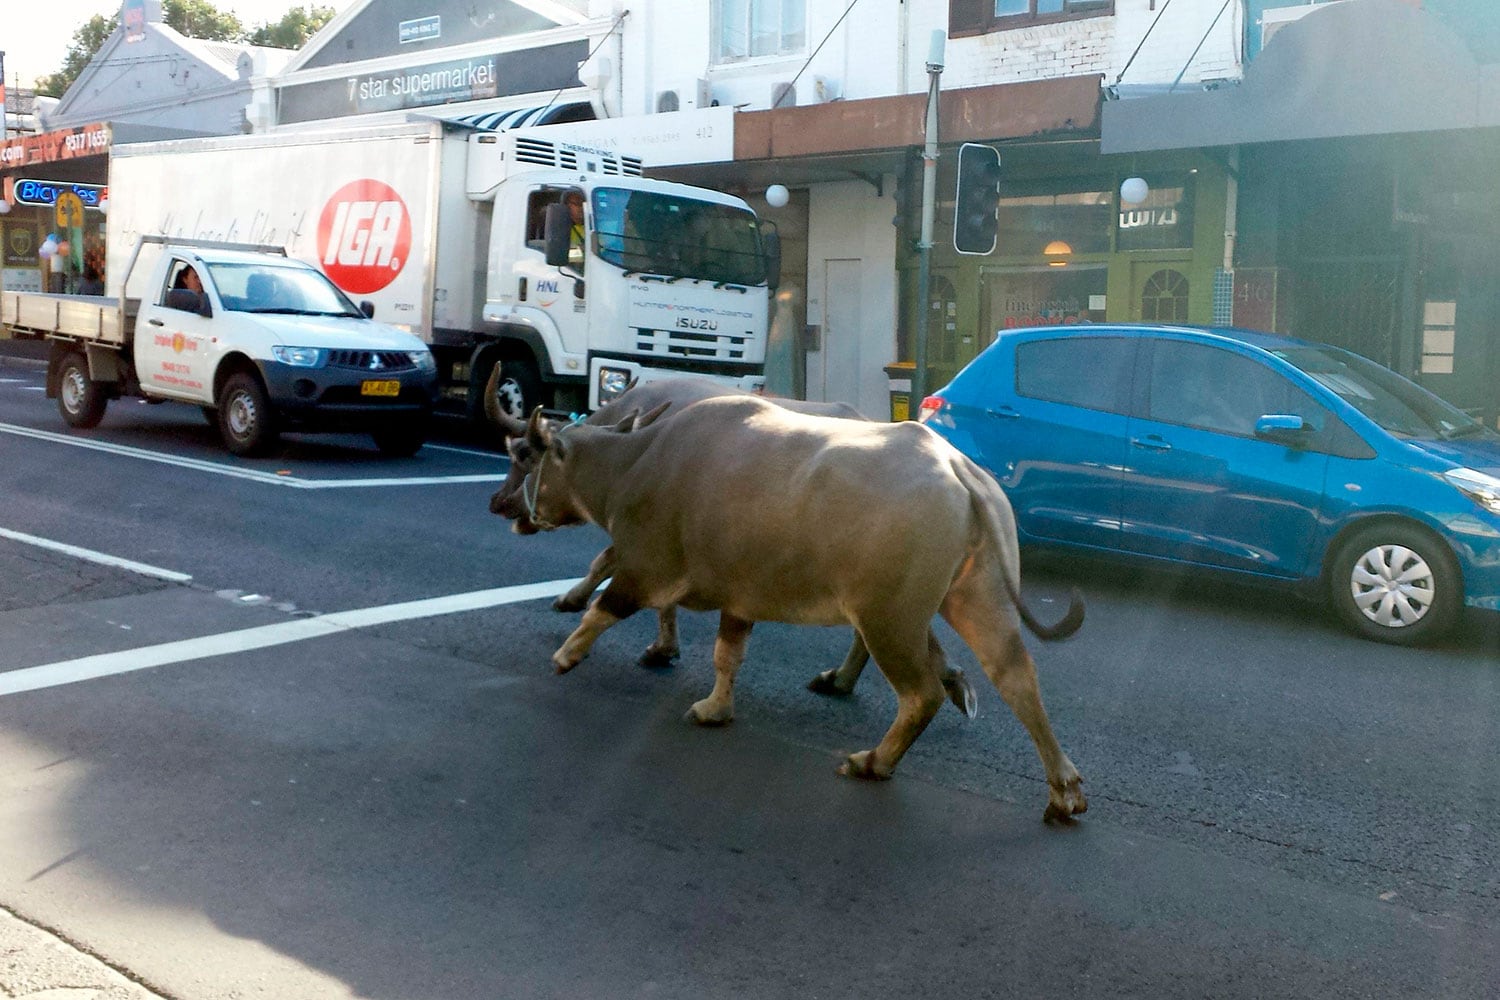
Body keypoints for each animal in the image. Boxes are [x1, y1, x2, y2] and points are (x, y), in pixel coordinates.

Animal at [492, 371, 978, 716]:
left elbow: (607, 562)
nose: (500, 503)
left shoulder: (655, 534)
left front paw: (573, 603)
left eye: (523, 454)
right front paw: (663, 647)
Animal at [510, 395, 1086, 827]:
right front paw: (715, 708)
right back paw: (1064, 790)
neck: (637, 461)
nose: (508, 507)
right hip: (977, 595)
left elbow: (605, 607)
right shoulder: (739, 596)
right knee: (1015, 676)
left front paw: (566, 654)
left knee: (921, 694)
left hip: (889, 618)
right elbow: (727, 655)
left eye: (527, 458)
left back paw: (875, 761)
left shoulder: (645, 566)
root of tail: (958, 469)